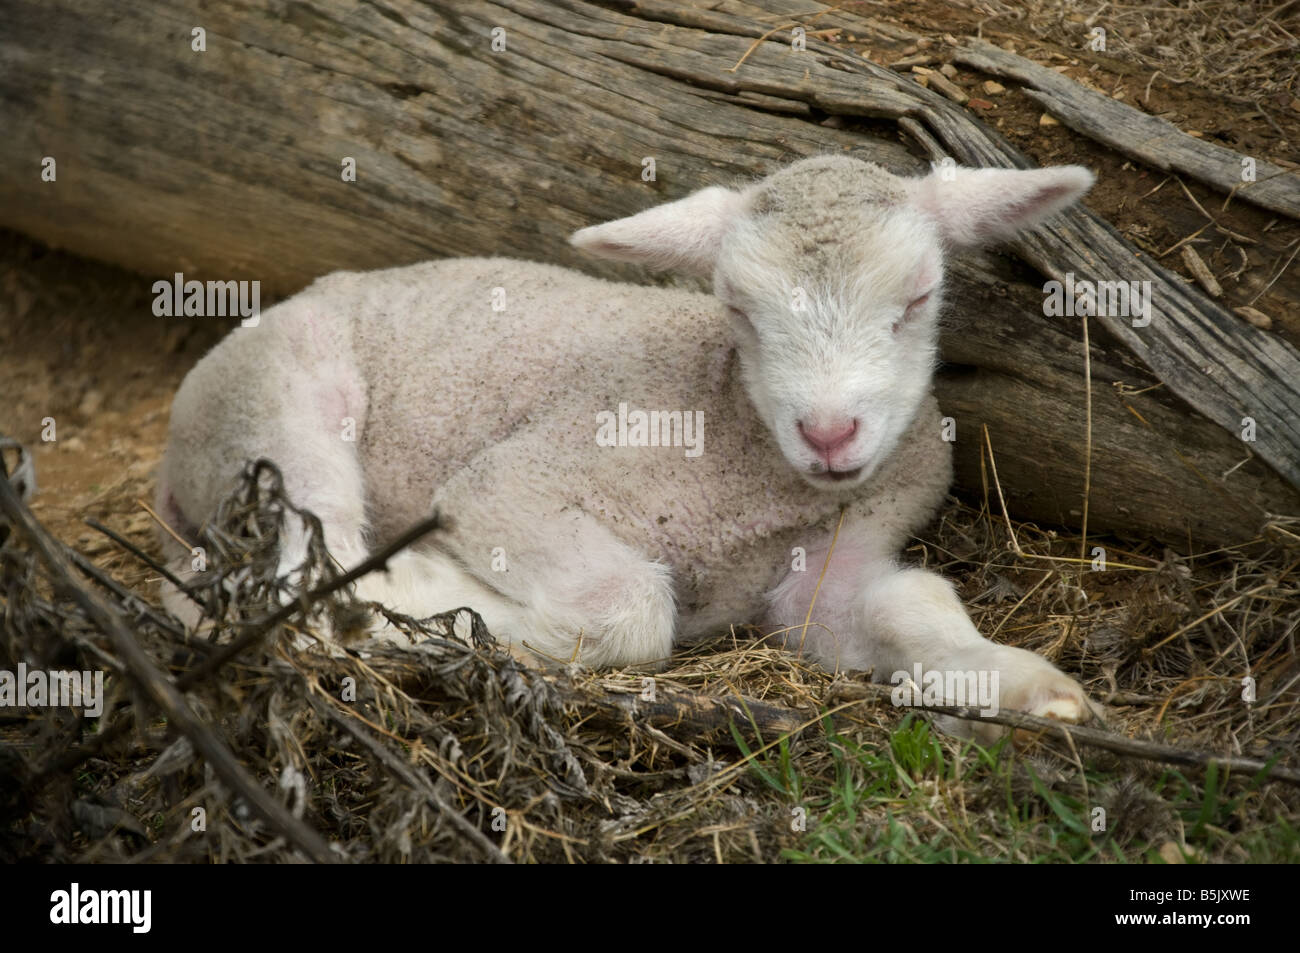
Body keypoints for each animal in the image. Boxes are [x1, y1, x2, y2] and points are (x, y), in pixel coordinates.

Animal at [155, 154, 1099, 740]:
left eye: (919, 297)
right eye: (737, 307)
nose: (829, 432)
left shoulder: (837, 561)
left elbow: (912, 603)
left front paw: (1021, 689)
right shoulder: (509, 485)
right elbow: (631, 606)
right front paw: (437, 594)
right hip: (275, 407)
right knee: (295, 576)